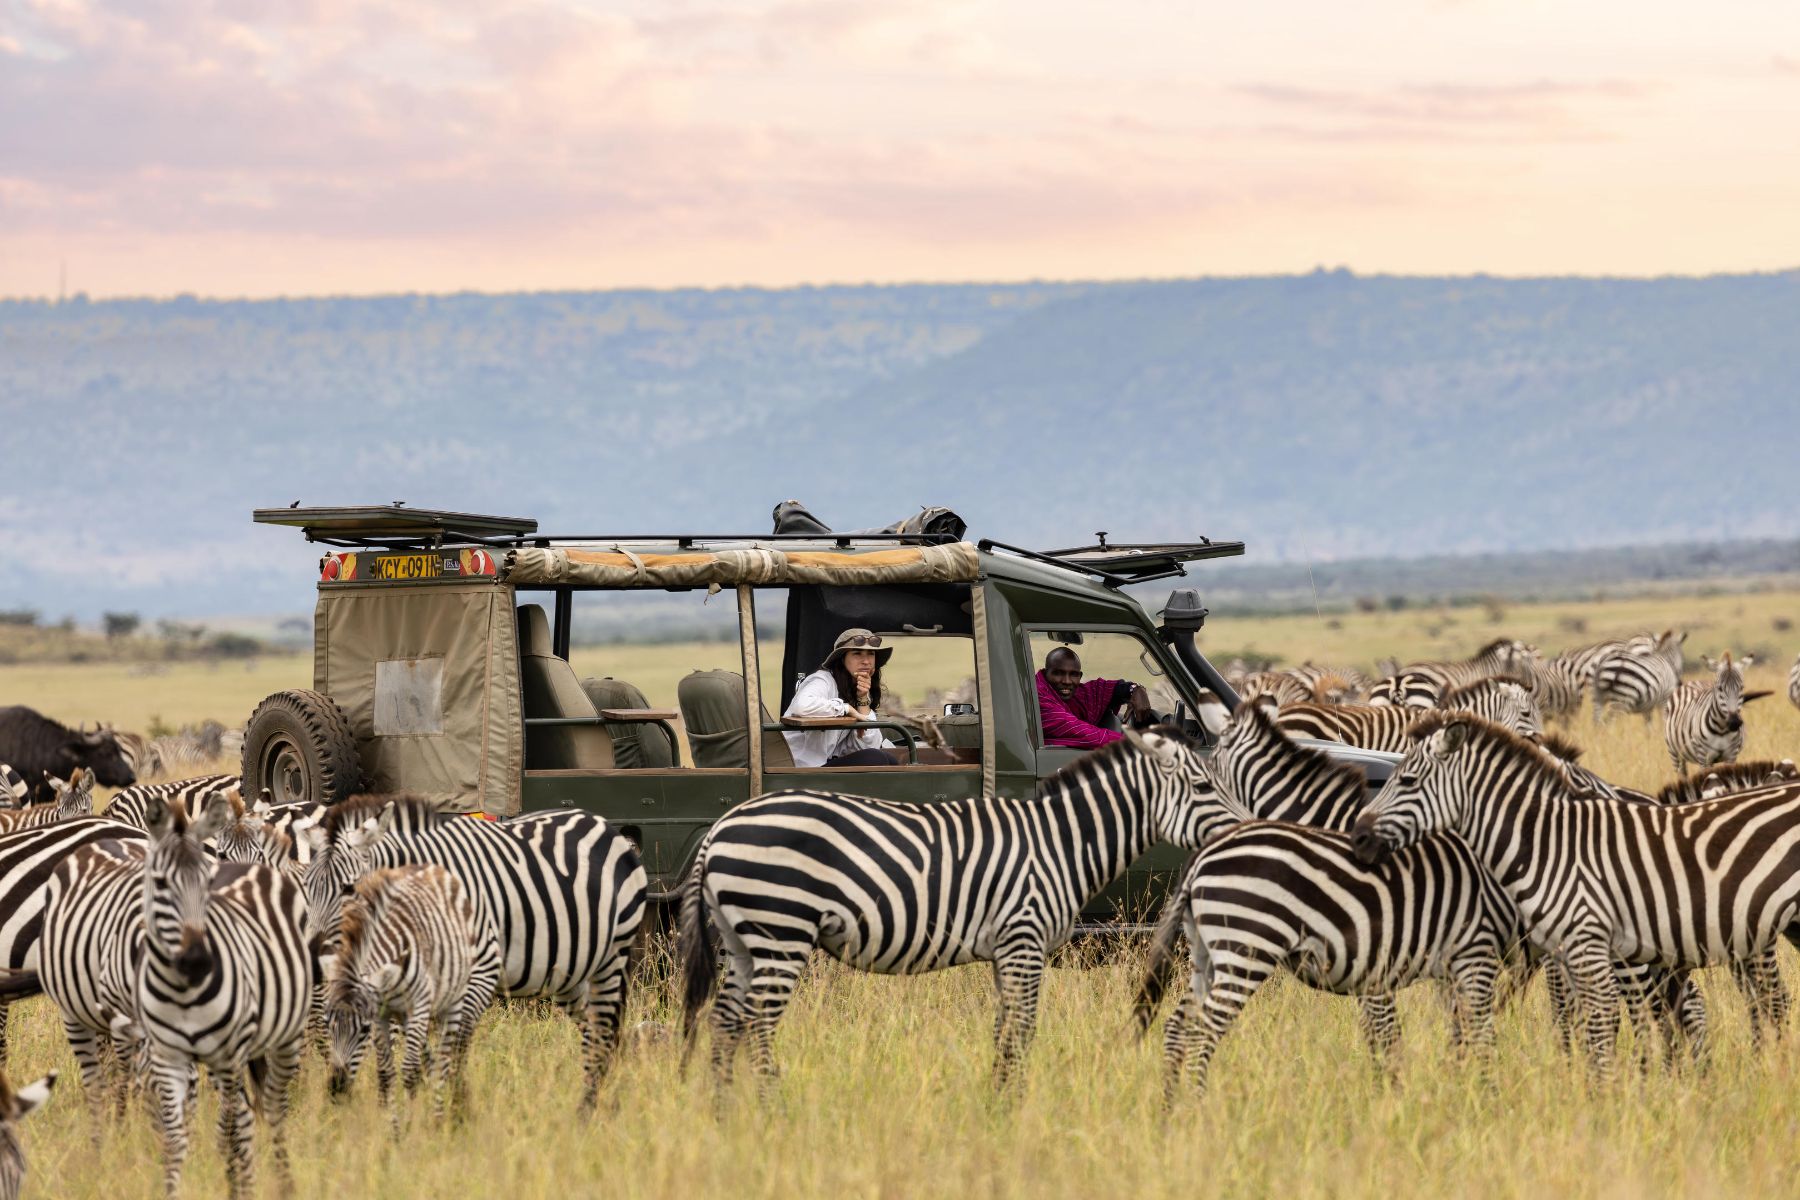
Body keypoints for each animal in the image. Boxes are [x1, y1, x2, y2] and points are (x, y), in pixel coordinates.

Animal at [324, 864, 501, 1120]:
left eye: (364, 1031)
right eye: (327, 1025)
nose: (336, 1089)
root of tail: (431, 867)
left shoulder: (418, 1004)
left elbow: (408, 1069)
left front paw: (411, 1124)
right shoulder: (381, 1012)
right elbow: (386, 1072)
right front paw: (391, 1120)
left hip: (456, 998)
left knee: (447, 1059)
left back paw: (443, 1117)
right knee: (429, 1061)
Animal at [678, 728, 1251, 1095]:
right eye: (1204, 786)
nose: (1248, 832)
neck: (1061, 842)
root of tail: (720, 828)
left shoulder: (1007, 951)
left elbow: (1004, 1032)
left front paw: (995, 1104)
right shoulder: (1024, 940)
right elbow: (1022, 1030)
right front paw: (1011, 1110)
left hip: (742, 940)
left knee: (726, 1020)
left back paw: (724, 1112)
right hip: (781, 931)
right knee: (757, 1021)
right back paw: (772, 1108)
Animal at [1136, 820, 1519, 1104]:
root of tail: (1201, 858)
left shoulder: (1436, 967)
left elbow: (1447, 1034)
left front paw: (1444, 1090)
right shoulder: (1472, 953)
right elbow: (1479, 1033)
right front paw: (1485, 1100)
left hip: (1206, 955)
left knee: (1178, 1028)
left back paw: (1170, 1112)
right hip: (1245, 945)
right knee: (1203, 1033)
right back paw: (1200, 1110)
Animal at [1351, 713, 1800, 1073]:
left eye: (1408, 780)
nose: (1358, 837)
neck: (1549, 843)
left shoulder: (1589, 942)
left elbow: (1598, 1023)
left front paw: (1607, 1097)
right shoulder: (1573, 950)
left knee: (1767, 1000)